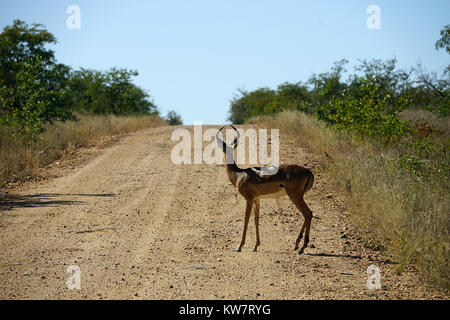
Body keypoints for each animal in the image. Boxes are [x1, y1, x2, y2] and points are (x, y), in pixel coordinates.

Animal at [216, 124, 314, 254]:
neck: (239, 175)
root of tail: (308, 171)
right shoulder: (256, 199)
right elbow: (256, 220)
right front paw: (255, 246)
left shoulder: (249, 199)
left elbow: (246, 220)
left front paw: (239, 246)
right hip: (298, 197)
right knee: (309, 214)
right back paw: (297, 245)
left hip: (295, 196)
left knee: (307, 214)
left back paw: (301, 247)